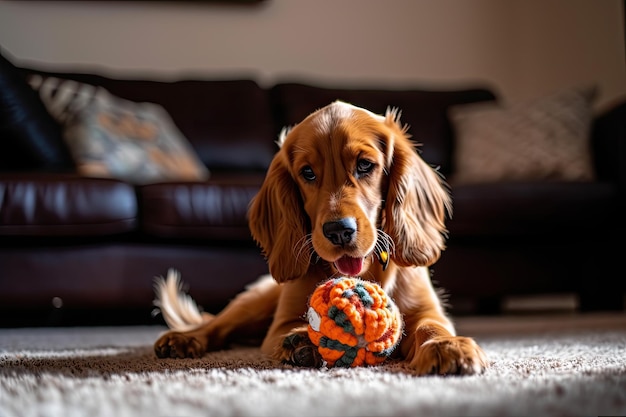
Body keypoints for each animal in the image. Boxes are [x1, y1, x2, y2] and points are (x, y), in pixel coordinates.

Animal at [152, 101, 488, 374]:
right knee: (217, 324)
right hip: (255, 303)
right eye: (308, 173)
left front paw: (447, 346)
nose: (339, 230)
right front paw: (302, 340)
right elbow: (291, 328)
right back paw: (183, 339)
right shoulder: (278, 325)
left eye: (365, 165)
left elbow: (431, 327)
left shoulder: (427, 310)